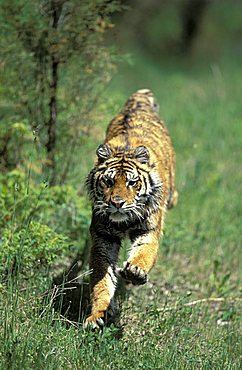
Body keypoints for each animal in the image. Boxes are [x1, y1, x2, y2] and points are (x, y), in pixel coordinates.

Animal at [85, 89, 178, 330]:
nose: (117, 203)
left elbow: (144, 254)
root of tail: (140, 98)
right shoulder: (103, 238)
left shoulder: (148, 230)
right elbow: (101, 280)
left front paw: (134, 272)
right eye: (108, 182)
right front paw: (97, 315)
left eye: (132, 182)